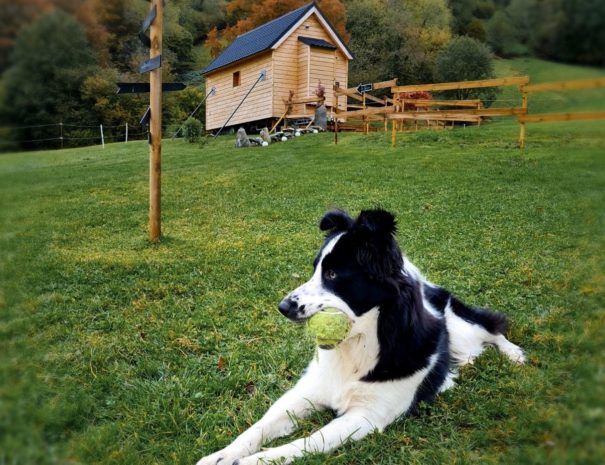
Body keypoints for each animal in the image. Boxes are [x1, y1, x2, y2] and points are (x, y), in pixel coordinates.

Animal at [197, 208, 524, 462]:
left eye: (332, 275)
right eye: (314, 270)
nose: (283, 307)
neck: (358, 346)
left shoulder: (365, 416)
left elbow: (307, 442)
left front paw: (254, 461)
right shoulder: (307, 391)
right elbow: (260, 426)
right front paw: (222, 455)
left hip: (461, 325)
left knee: (492, 329)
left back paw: (515, 355)